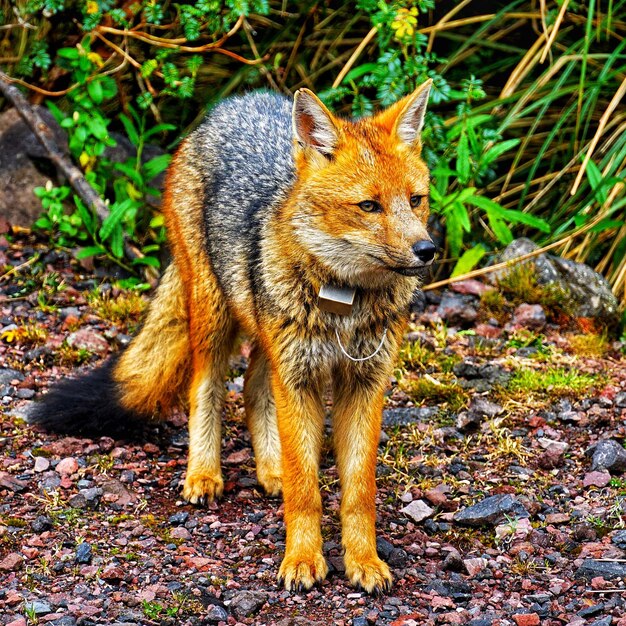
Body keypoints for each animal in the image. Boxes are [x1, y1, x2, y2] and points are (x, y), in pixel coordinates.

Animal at [29, 80, 436, 592]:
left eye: (416, 200)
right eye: (369, 206)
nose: (427, 250)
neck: (345, 304)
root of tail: (237, 102)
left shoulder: (365, 383)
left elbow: (359, 492)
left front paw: (363, 560)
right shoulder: (298, 378)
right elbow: (306, 491)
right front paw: (302, 558)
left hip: (263, 334)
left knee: (254, 388)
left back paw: (271, 468)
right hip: (214, 317)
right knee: (208, 389)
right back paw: (204, 473)